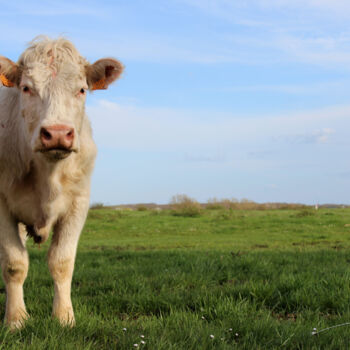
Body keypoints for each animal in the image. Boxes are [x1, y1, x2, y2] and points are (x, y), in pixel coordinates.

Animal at [0, 37, 123, 330]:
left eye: (82, 89)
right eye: (26, 88)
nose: (57, 133)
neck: (48, 175)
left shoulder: (78, 204)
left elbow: (62, 262)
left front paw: (64, 317)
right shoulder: (1, 205)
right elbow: (14, 263)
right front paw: (16, 319)